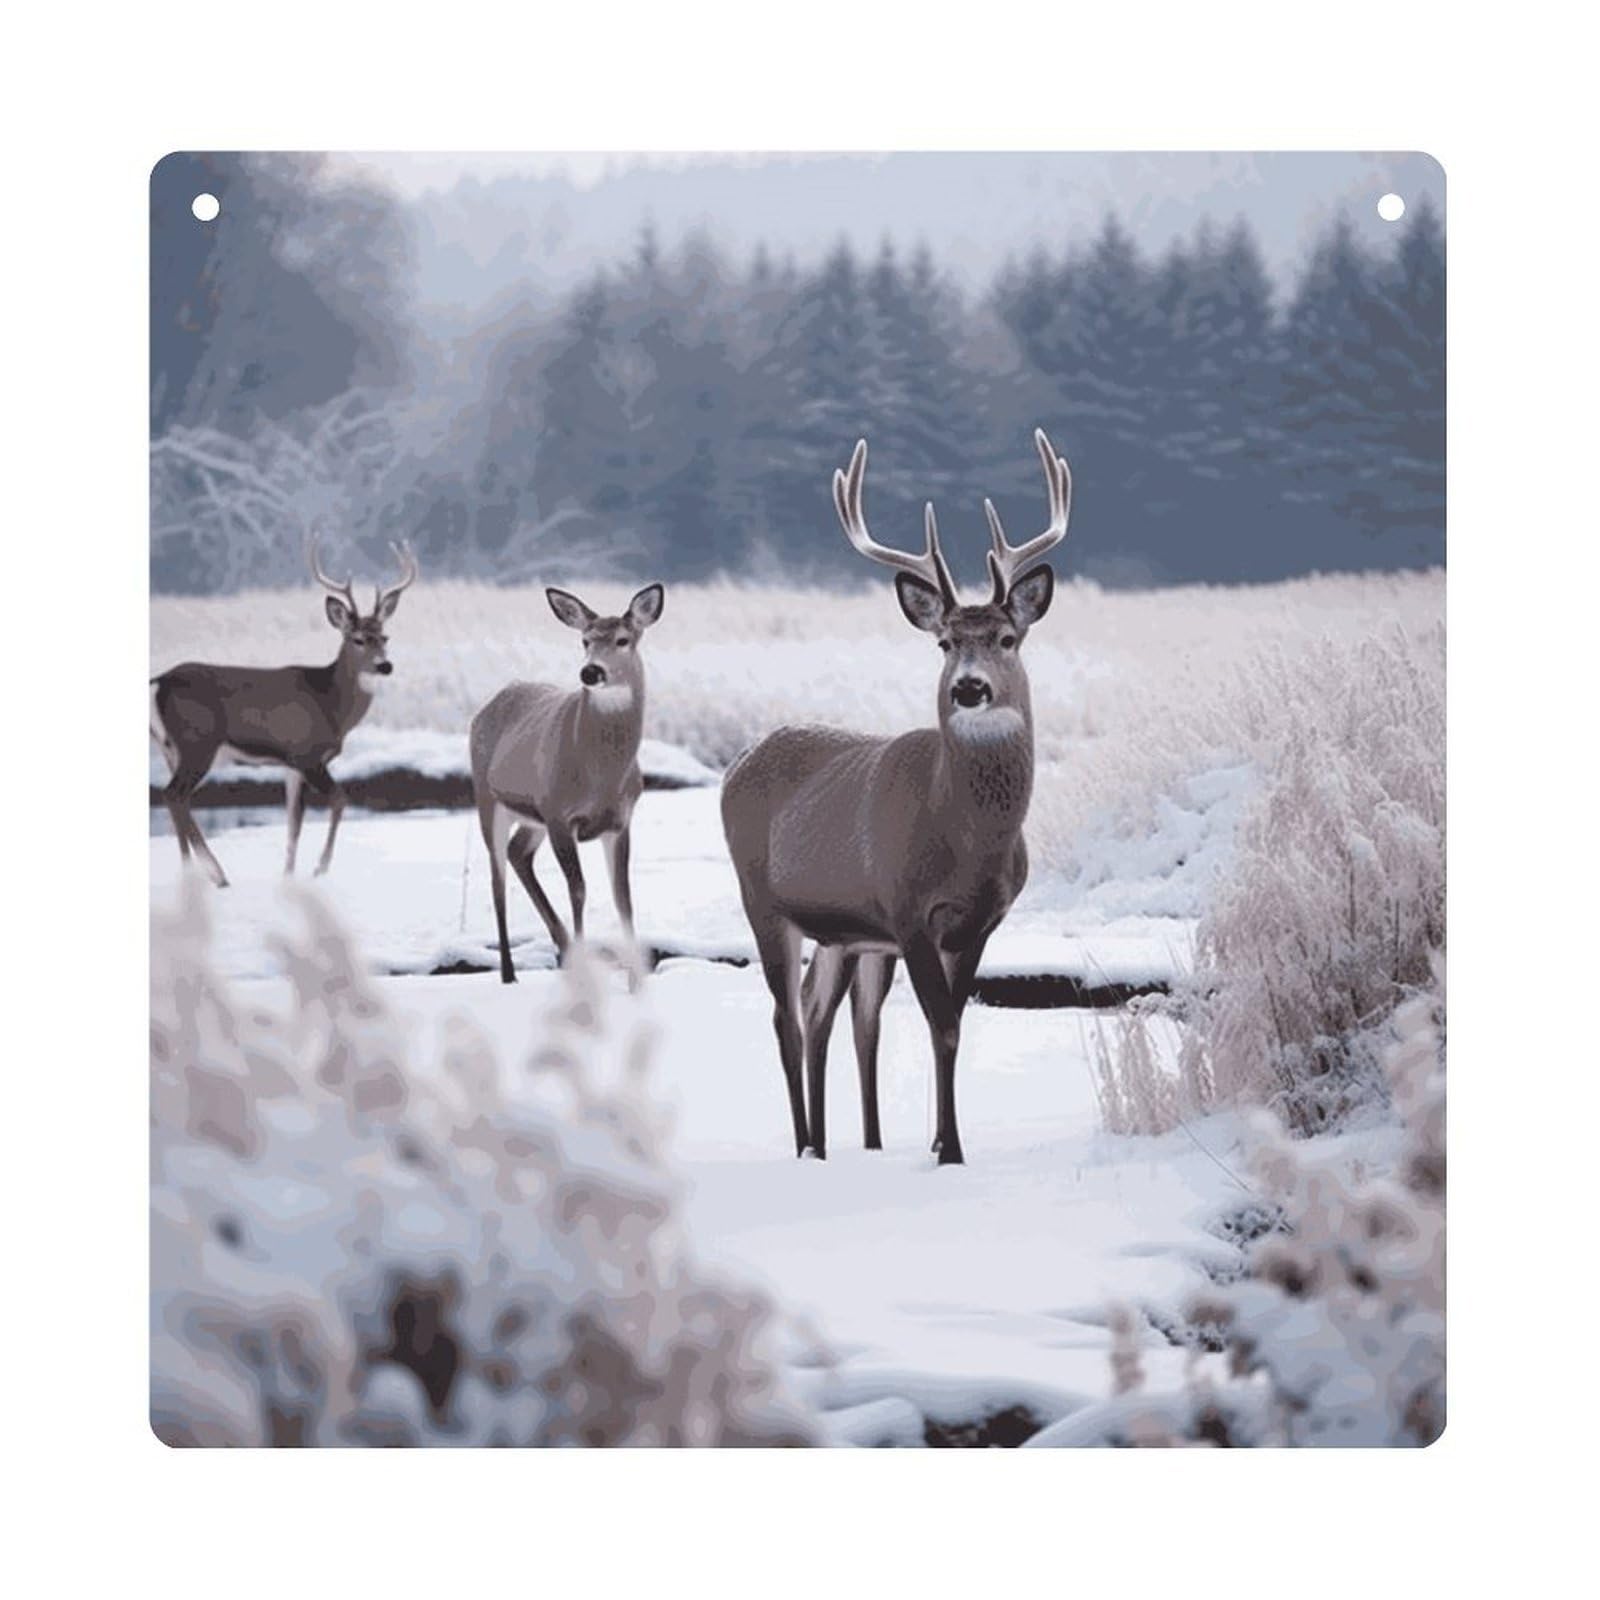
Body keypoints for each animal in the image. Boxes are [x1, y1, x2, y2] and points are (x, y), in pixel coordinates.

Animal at [149, 539, 418, 887]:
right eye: (357, 639)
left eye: (385, 637)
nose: (385, 665)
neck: (331, 704)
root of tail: (158, 681)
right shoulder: (308, 754)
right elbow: (340, 798)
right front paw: (320, 868)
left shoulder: (291, 764)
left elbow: (293, 824)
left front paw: (288, 876)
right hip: (198, 743)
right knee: (174, 794)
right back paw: (215, 873)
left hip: (171, 748)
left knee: (175, 798)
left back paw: (193, 873)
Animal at [469, 582, 666, 984]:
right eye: (585, 640)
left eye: (623, 639)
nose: (590, 672)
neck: (600, 778)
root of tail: (489, 703)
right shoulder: (560, 814)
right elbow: (578, 890)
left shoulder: (620, 820)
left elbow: (623, 897)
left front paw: (635, 982)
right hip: (488, 798)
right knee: (497, 882)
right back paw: (509, 973)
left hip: (534, 817)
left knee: (517, 853)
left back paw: (561, 946)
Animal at [721, 429, 1070, 1165]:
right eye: (943, 642)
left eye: (1007, 638)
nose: (970, 687)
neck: (967, 839)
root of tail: (738, 761)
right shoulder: (907, 908)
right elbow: (942, 1025)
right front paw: (951, 1151)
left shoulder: (980, 922)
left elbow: (951, 1024)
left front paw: (939, 1141)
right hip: (762, 898)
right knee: (786, 1016)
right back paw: (805, 1146)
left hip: (844, 934)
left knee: (830, 1014)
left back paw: (848, 1143)